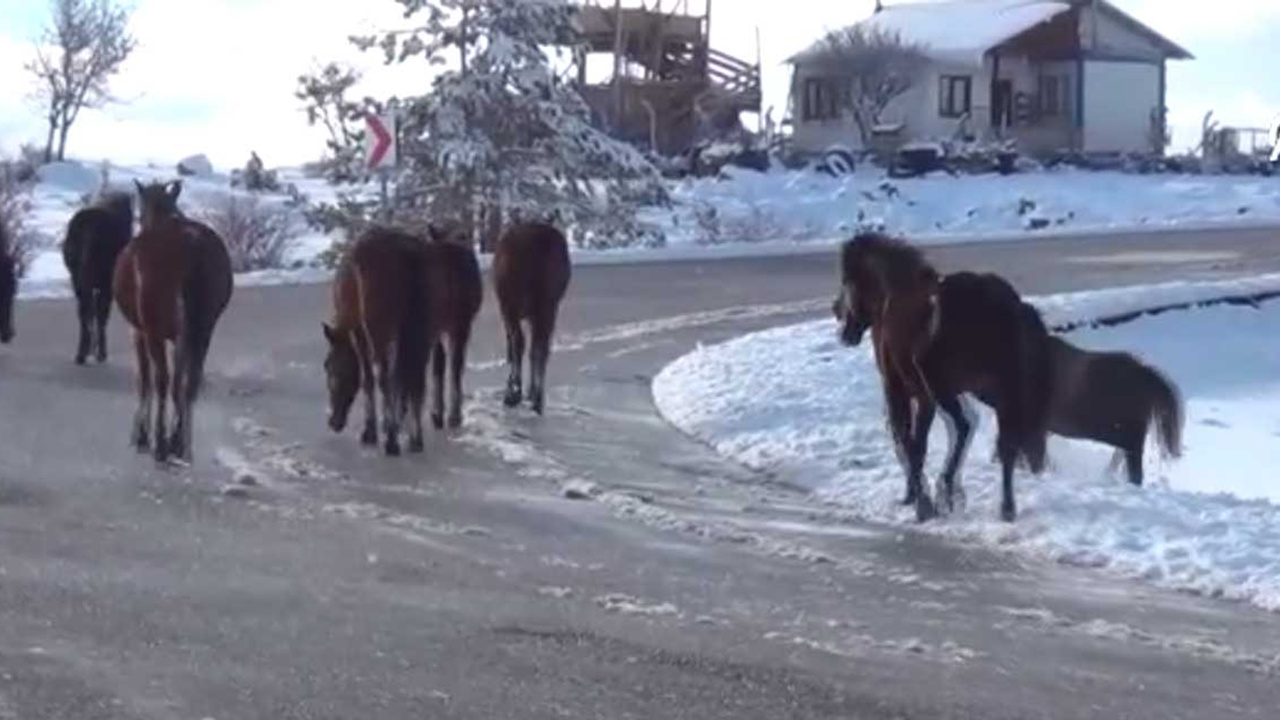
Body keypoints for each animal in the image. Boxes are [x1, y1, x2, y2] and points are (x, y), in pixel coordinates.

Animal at [63, 189, 134, 361]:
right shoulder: (106, 285)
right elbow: (101, 312)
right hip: (101, 281)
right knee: (97, 311)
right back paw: (98, 352)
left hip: (78, 279)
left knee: (85, 311)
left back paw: (82, 353)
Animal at [114, 179, 232, 458]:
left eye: (138, 213)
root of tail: (194, 249)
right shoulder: (182, 335)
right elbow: (180, 380)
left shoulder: (138, 331)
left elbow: (145, 380)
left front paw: (141, 435)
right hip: (204, 326)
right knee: (191, 382)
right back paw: (181, 442)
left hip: (154, 326)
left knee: (162, 379)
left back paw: (161, 442)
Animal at [320, 228, 424, 453]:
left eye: (331, 368)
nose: (334, 423)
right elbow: (393, 377)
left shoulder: (366, 332)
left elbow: (373, 378)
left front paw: (374, 431)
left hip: (382, 330)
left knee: (386, 378)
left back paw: (392, 441)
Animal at [834, 235, 1054, 520]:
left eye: (846, 280)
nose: (839, 316)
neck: (891, 297)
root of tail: (1007, 305)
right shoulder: (928, 395)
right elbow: (919, 440)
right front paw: (924, 495)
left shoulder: (901, 390)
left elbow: (911, 443)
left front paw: (920, 501)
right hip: (990, 391)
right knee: (1002, 442)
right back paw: (1000, 505)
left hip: (948, 389)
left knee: (968, 429)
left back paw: (948, 492)